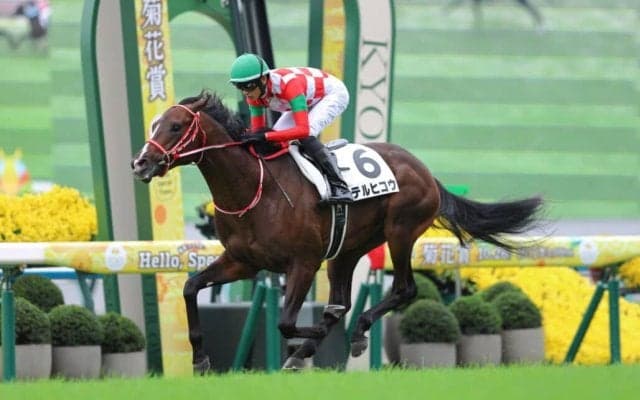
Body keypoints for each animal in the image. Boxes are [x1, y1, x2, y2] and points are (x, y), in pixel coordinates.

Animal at [131, 91, 544, 373]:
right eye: (153, 124)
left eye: (176, 126)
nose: (141, 163)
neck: (253, 189)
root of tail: (424, 170)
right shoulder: (242, 261)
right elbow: (190, 287)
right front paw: (200, 358)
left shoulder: (303, 262)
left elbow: (286, 322)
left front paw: (310, 339)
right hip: (347, 249)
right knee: (343, 301)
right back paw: (315, 347)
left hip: (401, 231)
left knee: (404, 289)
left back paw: (354, 334)